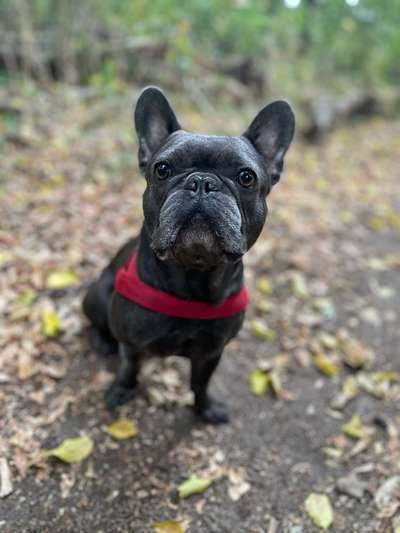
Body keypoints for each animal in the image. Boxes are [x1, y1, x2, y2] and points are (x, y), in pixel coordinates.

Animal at [82, 87, 294, 422]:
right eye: (162, 169)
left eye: (246, 177)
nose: (202, 182)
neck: (194, 274)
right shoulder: (131, 343)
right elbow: (128, 370)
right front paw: (120, 392)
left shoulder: (211, 352)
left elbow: (200, 383)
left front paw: (205, 408)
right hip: (96, 296)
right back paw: (102, 342)